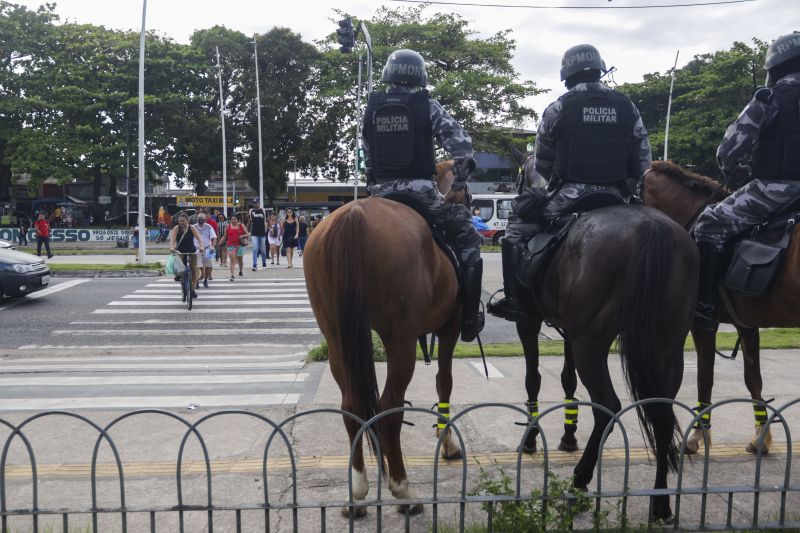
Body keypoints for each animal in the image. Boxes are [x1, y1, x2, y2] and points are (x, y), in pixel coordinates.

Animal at [304, 162, 466, 516]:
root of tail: (354, 216)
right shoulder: (449, 328)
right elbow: (444, 383)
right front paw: (447, 443)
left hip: (337, 339)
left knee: (351, 405)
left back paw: (357, 490)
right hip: (400, 341)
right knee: (390, 406)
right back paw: (402, 488)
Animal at [644, 161, 800, 454]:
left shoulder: (702, 325)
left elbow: (704, 377)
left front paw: (697, 434)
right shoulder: (746, 324)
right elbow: (753, 378)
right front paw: (760, 436)